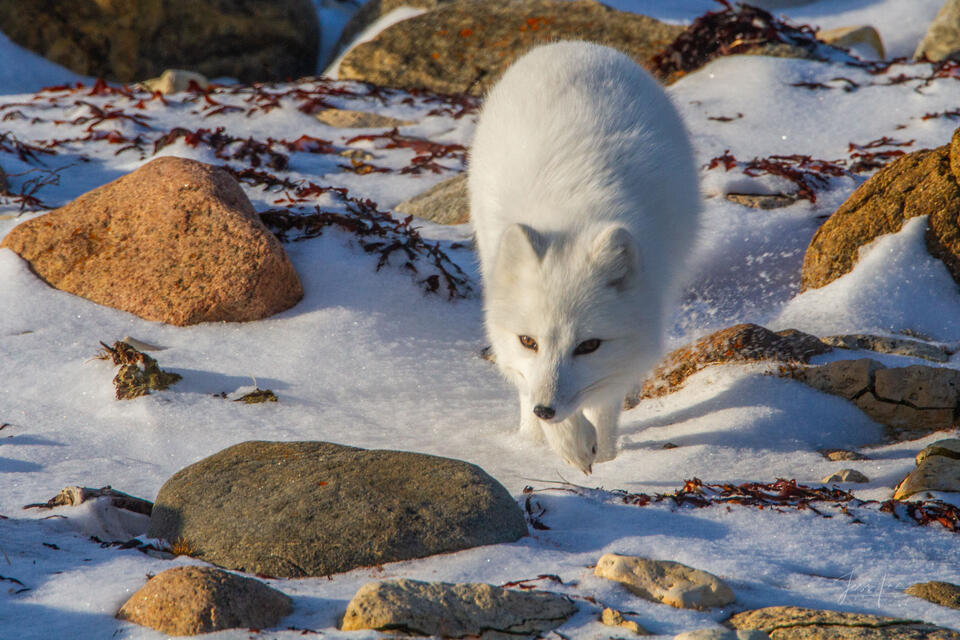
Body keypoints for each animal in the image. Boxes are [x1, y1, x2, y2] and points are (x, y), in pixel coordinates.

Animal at [468, 41, 700, 474]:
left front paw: (604, 454)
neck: (573, 217)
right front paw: (569, 443)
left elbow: (605, 400)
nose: (545, 410)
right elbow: (534, 388)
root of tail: (574, 45)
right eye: (529, 340)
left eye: (589, 345)